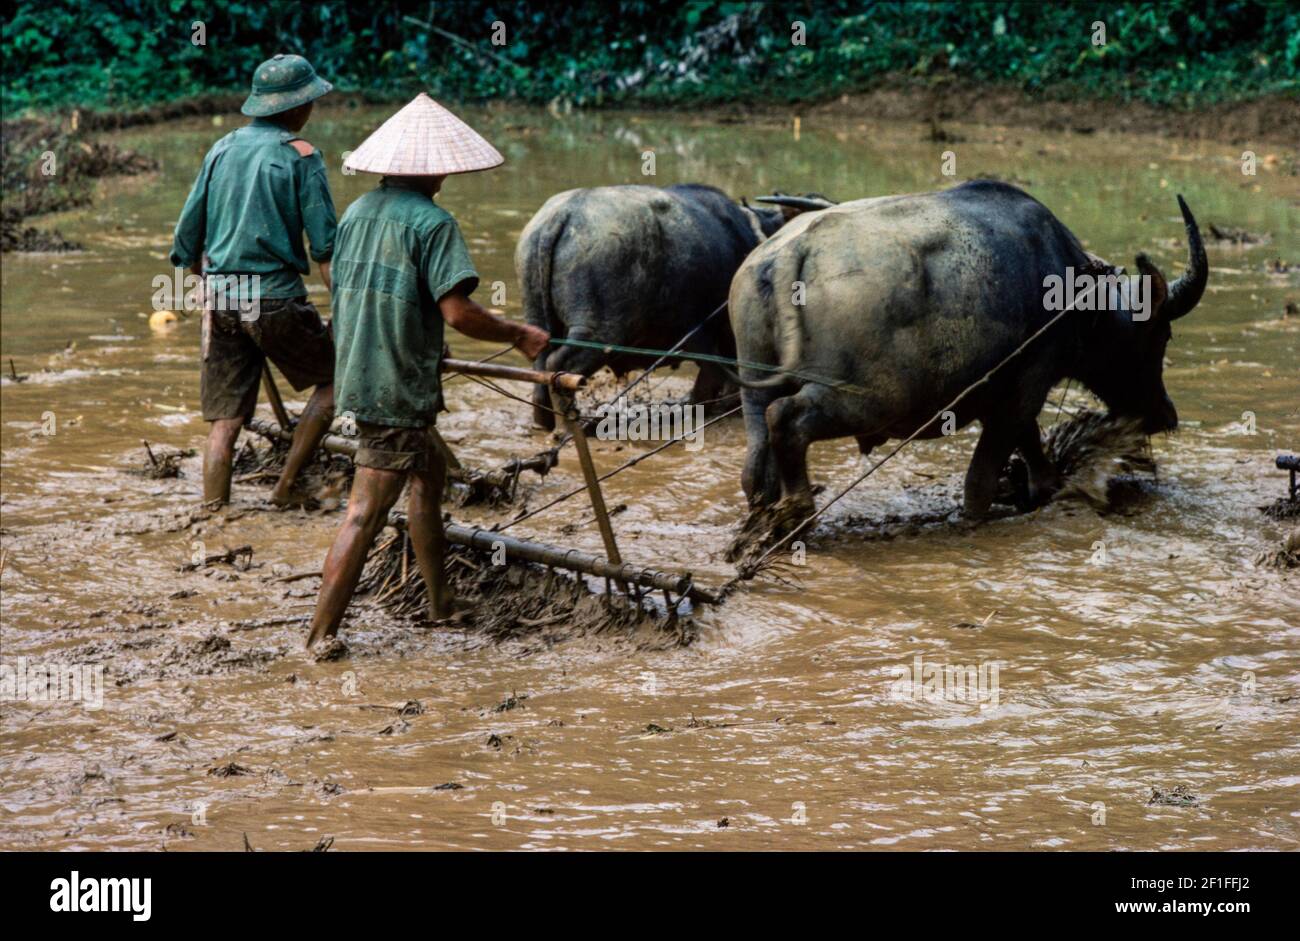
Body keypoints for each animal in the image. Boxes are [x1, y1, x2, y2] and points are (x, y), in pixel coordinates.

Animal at [514, 180, 826, 428]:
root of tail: (562, 215)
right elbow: (712, 381)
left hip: (539, 320)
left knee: (541, 363)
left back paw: (544, 420)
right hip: (598, 332)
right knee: (559, 365)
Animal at [733, 180, 1206, 540]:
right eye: (1160, 336)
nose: (1165, 414)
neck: (1073, 291)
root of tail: (794, 251)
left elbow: (1029, 443)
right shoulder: (1029, 381)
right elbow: (985, 474)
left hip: (753, 381)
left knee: (756, 460)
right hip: (871, 399)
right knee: (787, 418)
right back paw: (798, 512)